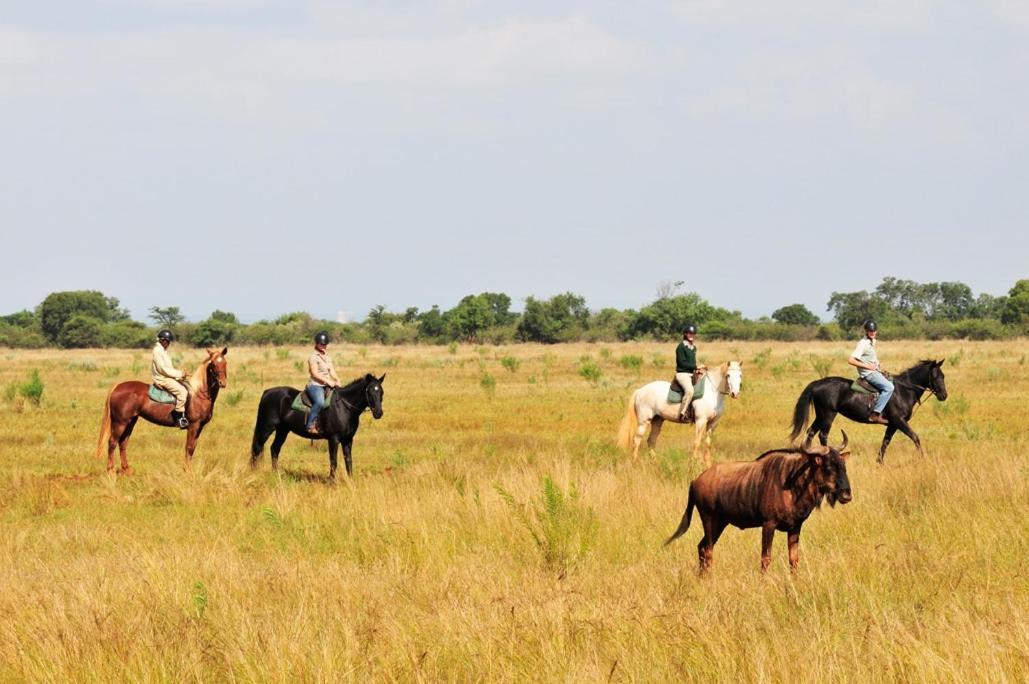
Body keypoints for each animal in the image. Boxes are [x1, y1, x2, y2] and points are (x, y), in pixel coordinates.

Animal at [95, 343, 229, 473]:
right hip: (120, 422)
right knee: (112, 442)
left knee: (123, 442)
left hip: (131, 421)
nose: (222, 383)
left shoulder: (199, 427)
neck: (199, 393)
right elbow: (189, 448)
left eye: (225, 363)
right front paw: (188, 472)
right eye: (213, 364)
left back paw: (127, 469)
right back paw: (110, 470)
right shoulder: (193, 426)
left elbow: (192, 448)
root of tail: (117, 387)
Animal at [250, 370, 386, 477]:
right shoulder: (334, 439)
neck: (343, 406)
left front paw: (351, 481)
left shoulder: (348, 439)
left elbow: (348, 461)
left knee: (274, 449)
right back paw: (255, 473)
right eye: (369, 392)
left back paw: (276, 474)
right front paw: (332, 482)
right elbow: (333, 461)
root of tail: (267, 392)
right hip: (266, 428)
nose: (378, 413)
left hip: (283, 430)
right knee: (257, 448)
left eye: (381, 392)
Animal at [613, 360, 744, 466]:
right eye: (728, 375)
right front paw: (693, 463)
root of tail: (640, 390)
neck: (713, 391)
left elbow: (707, 443)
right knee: (637, 440)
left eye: (740, 375)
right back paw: (635, 462)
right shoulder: (701, 421)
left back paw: (656, 463)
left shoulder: (713, 423)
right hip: (643, 422)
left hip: (657, 421)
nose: (735, 393)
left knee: (651, 440)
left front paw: (708, 464)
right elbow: (697, 442)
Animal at [786, 357, 946, 464]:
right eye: (935, 376)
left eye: (943, 376)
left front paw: (879, 462)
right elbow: (915, 437)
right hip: (828, 415)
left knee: (811, 432)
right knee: (823, 435)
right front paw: (923, 459)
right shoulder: (899, 421)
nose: (944, 395)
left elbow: (885, 442)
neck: (903, 390)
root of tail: (817, 383)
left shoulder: (892, 425)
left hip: (820, 415)